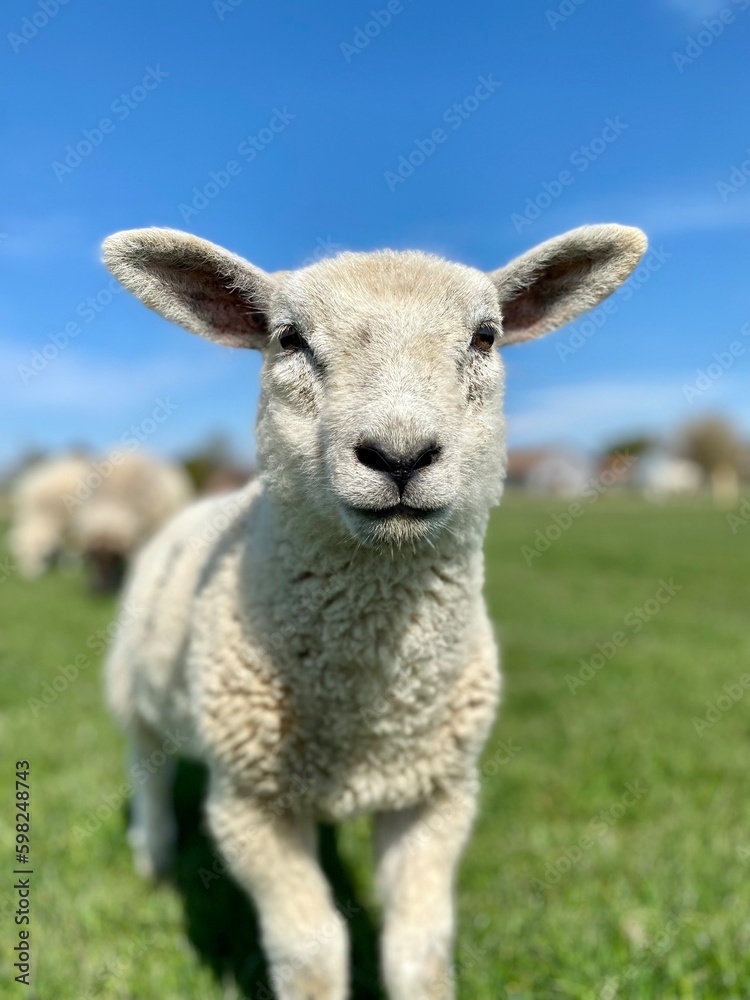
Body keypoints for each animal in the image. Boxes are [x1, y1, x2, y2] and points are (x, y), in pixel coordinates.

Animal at [103, 225, 648, 1000]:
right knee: (143, 761)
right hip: (132, 682)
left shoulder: (437, 793)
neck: (368, 705)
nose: (399, 455)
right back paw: (152, 851)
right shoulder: (249, 804)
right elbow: (311, 950)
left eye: (485, 336)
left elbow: (418, 947)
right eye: (289, 339)